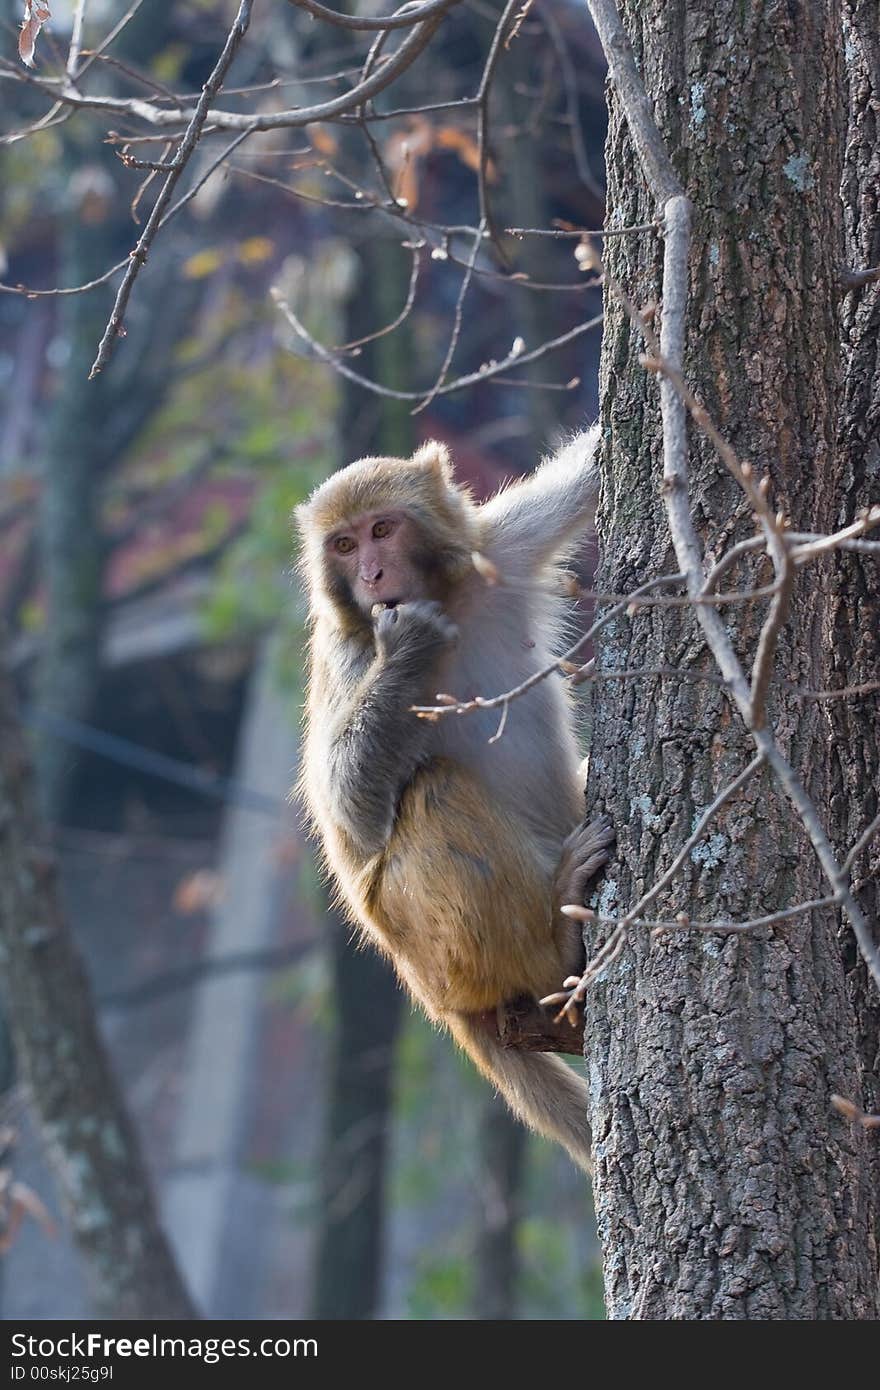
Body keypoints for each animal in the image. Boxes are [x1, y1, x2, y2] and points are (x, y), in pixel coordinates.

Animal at [294, 425, 611, 1173]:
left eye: (382, 530)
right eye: (343, 545)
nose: (373, 578)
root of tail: (435, 998)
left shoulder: (499, 549)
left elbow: (586, 475)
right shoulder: (349, 650)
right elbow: (351, 812)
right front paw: (409, 648)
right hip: (436, 951)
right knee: (431, 790)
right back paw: (555, 943)